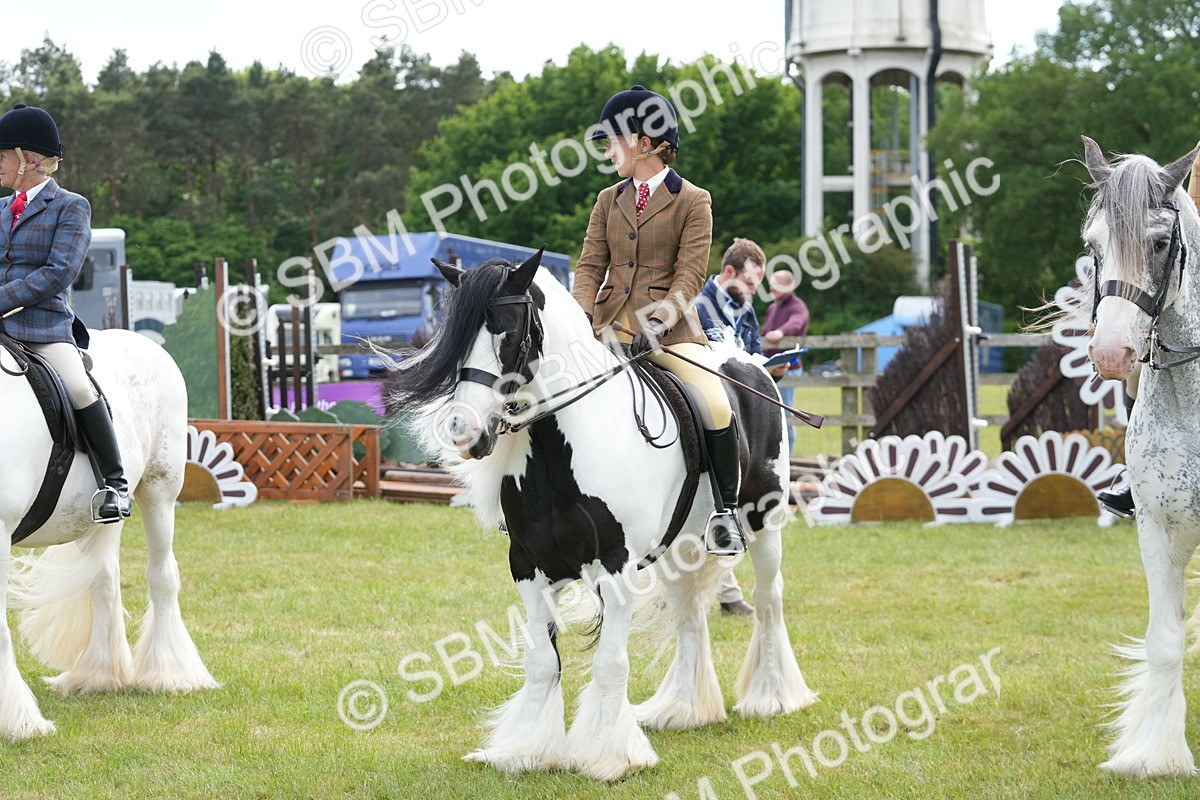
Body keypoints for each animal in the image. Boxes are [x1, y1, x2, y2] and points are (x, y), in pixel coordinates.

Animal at [0, 327, 219, 742]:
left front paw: (19, 723)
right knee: (104, 582)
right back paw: (100, 675)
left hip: (160, 490)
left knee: (162, 578)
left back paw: (171, 675)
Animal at [383, 249, 816, 781]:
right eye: (457, 339)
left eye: (512, 334)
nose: (463, 431)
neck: (563, 450)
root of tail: (750, 362)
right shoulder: (528, 566)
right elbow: (542, 663)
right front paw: (527, 751)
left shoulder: (616, 565)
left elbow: (611, 662)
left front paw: (609, 757)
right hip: (681, 547)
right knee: (690, 613)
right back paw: (682, 710)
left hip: (764, 523)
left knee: (769, 599)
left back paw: (773, 697)